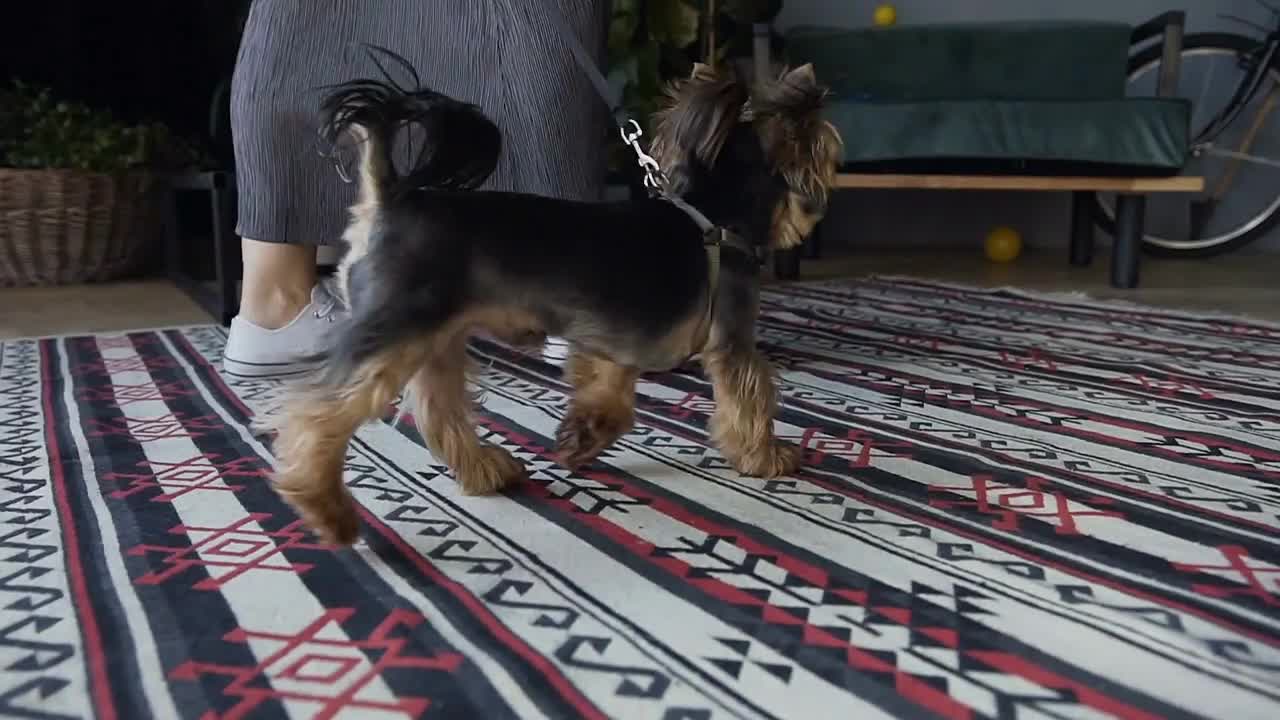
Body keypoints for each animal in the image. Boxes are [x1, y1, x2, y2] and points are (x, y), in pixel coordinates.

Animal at [262, 50, 839, 540]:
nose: (815, 213)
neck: (715, 213)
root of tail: (387, 200)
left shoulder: (610, 338)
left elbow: (610, 395)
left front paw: (582, 438)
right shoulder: (730, 336)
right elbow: (750, 393)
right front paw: (766, 455)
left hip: (437, 335)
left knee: (438, 409)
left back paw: (486, 470)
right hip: (398, 325)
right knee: (318, 411)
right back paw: (323, 506)